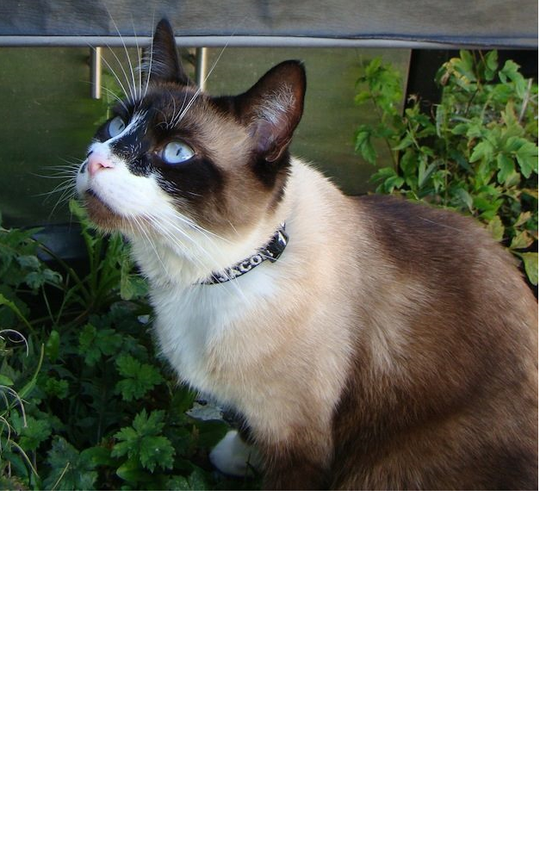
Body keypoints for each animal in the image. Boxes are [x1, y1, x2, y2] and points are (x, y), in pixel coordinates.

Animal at [75, 16, 536, 486]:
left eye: (176, 152)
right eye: (115, 126)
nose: (96, 162)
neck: (207, 276)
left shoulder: (298, 440)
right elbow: (246, 427)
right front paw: (237, 457)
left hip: (380, 472)